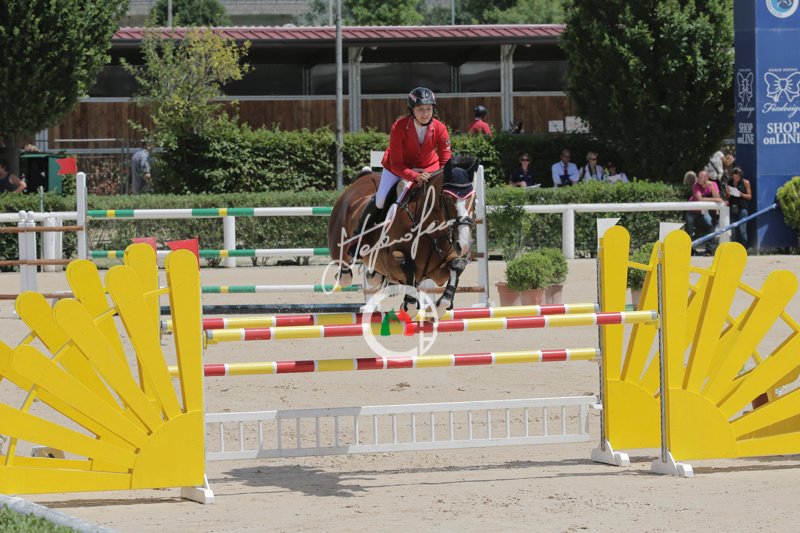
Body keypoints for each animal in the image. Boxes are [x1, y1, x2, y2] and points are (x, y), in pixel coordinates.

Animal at [328, 155, 479, 317]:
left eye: (474, 198)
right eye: (448, 198)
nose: (464, 245)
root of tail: (362, 179)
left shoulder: (438, 271)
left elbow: (457, 265)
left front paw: (440, 306)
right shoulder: (394, 261)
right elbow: (407, 267)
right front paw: (408, 305)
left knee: (374, 275)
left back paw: (375, 276)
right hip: (340, 245)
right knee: (344, 271)